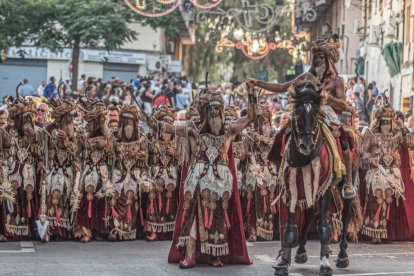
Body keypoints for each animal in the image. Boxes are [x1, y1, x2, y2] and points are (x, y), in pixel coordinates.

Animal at [274, 83, 350, 276]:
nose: (306, 145)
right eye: (298, 112)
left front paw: (325, 263)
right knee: (309, 214)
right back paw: (301, 251)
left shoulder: (325, 189)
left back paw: (342, 255)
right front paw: (283, 262)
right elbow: (291, 228)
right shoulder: (292, 190)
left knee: (346, 214)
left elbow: (324, 227)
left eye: (316, 113)